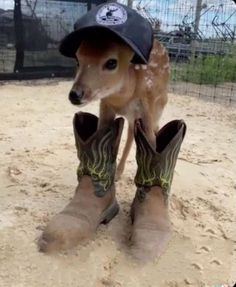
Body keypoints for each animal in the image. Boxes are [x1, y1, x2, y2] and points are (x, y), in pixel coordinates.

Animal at [68, 33, 170, 178]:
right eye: (77, 59)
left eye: (112, 62)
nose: (75, 94)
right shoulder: (105, 104)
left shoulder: (148, 106)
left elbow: (151, 140)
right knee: (131, 132)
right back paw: (118, 172)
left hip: (159, 104)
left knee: (150, 128)